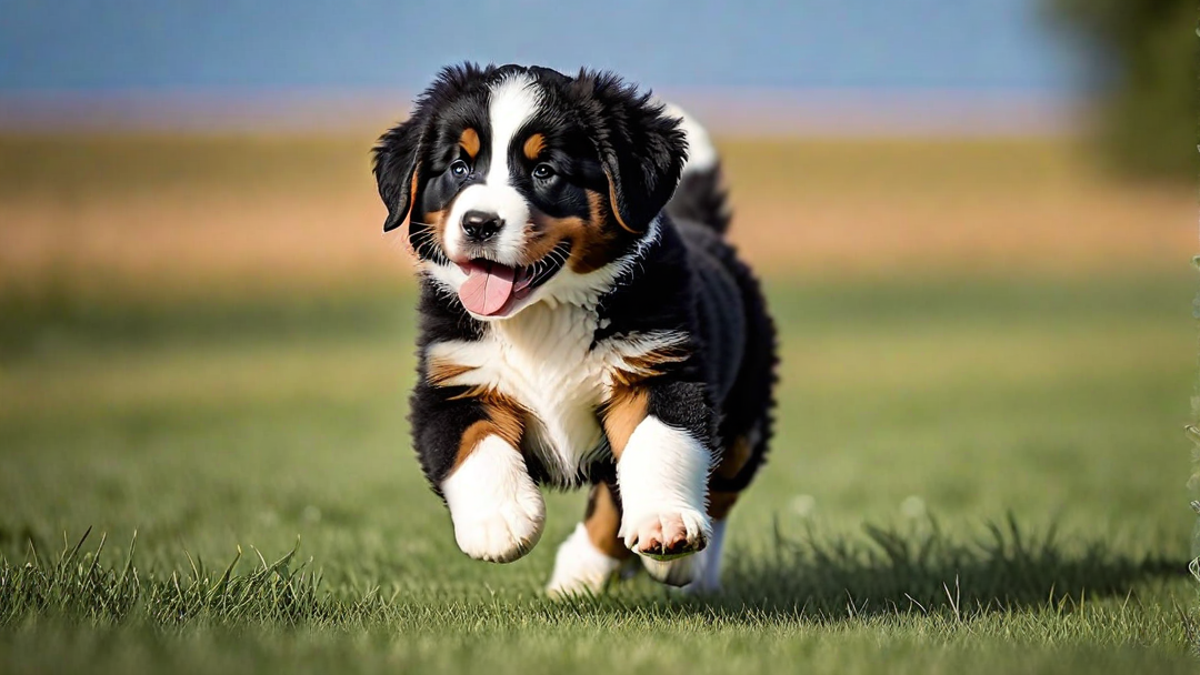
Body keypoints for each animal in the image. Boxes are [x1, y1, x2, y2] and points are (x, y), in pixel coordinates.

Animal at [369, 60, 772, 590]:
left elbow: (659, 443)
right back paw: (579, 572)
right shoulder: (454, 379)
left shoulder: (659, 370)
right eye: (459, 167)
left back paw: (688, 567)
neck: (544, 313)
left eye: (545, 171)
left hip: (748, 409)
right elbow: (473, 445)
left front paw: (666, 523)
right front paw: (500, 522)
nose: (479, 223)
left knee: (719, 483)